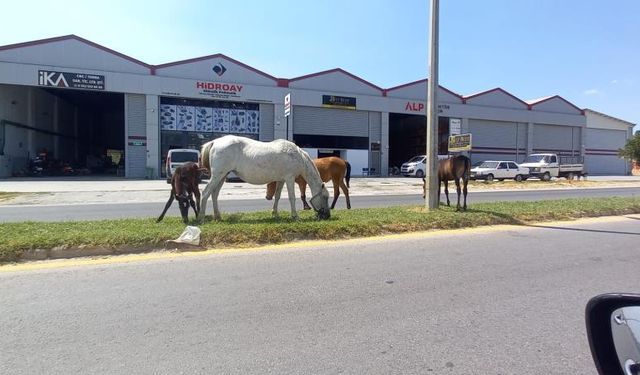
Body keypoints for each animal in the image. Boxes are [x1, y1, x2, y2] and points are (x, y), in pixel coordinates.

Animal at [199, 136, 330, 222]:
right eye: (325, 197)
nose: (327, 215)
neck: (297, 155)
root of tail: (214, 142)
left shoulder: (282, 180)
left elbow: (277, 196)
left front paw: (275, 213)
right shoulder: (290, 178)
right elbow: (291, 197)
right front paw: (295, 216)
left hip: (222, 176)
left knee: (214, 194)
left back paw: (218, 216)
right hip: (217, 176)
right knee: (205, 193)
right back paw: (201, 218)